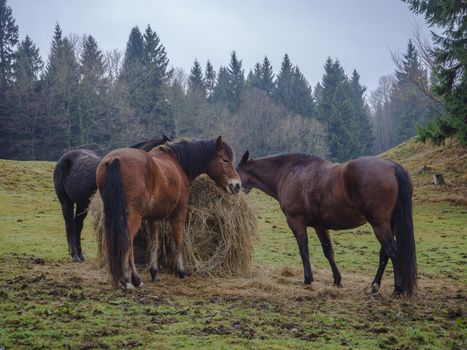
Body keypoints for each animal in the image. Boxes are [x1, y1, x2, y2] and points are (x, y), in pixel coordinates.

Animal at [53, 134, 171, 262]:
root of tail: (63, 159)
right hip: (66, 202)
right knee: (70, 225)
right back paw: (75, 255)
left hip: (82, 205)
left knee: (78, 225)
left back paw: (80, 254)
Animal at [96, 137, 241, 290]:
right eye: (225, 160)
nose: (237, 185)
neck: (177, 162)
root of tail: (114, 159)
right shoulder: (179, 213)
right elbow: (178, 240)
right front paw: (181, 271)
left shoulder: (154, 218)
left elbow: (154, 243)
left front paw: (154, 272)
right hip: (134, 217)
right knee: (127, 242)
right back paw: (130, 280)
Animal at [238, 150, 416, 296]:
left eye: (236, 171)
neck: (290, 172)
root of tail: (393, 167)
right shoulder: (320, 226)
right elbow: (328, 251)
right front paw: (337, 280)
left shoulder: (296, 222)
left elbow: (304, 250)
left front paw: (308, 279)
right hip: (389, 225)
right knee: (384, 254)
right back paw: (375, 286)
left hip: (380, 225)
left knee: (392, 251)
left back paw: (398, 288)